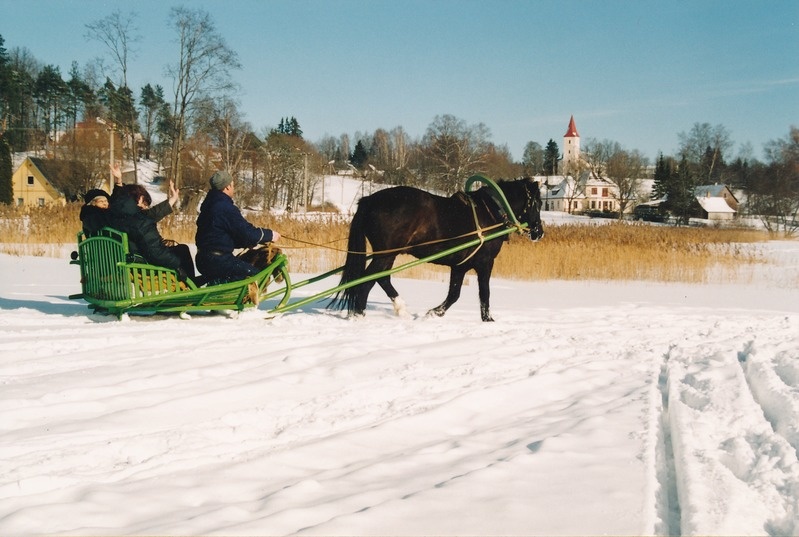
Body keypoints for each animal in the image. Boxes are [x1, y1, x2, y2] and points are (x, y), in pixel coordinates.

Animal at [330, 176, 544, 320]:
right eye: (539, 203)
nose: (539, 232)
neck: (491, 212)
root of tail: (369, 200)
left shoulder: (460, 265)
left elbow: (454, 294)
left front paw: (434, 313)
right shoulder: (485, 263)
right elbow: (485, 293)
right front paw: (488, 320)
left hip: (387, 255)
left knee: (380, 278)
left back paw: (399, 309)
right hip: (385, 255)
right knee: (367, 281)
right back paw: (359, 315)